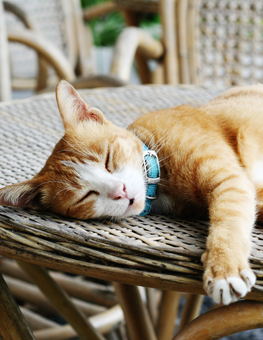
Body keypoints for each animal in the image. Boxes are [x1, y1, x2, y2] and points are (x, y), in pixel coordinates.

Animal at [2, 80, 263, 306]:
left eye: (107, 159)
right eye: (84, 196)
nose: (121, 191)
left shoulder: (229, 181)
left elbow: (228, 223)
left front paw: (225, 270)